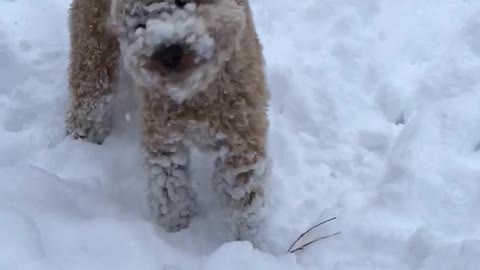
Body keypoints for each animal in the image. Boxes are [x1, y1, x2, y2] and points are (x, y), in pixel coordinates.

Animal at [65, 0, 272, 244]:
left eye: (183, 3)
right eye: (139, 18)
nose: (168, 52)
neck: (196, 94)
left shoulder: (242, 138)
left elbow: (245, 205)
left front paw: (248, 245)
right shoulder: (163, 137)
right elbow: (171, 193)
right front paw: (175, 235)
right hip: (93, 33)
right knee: (90, 81)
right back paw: (83, 136)